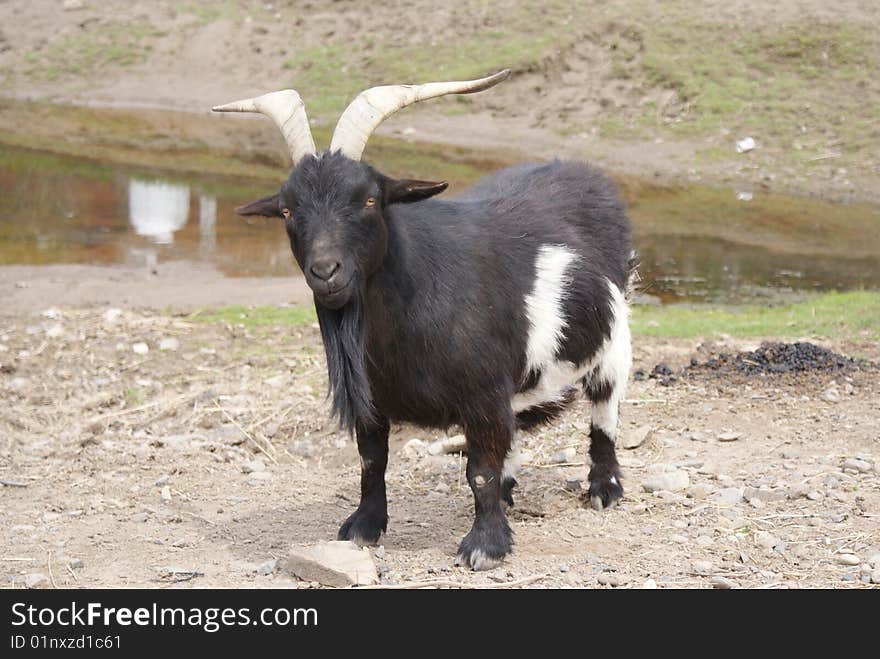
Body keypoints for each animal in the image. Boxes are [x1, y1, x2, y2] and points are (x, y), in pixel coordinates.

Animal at [217, 69, 636, 568]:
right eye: (286, 209)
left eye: (370, 200)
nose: (325, 272)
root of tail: (584, 173)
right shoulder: (375, 398)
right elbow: (372, 460)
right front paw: (363, 527)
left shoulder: (482, 392)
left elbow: (480, 470)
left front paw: (486, 545)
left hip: (614, 338)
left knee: (605, 409)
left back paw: (605, 488)